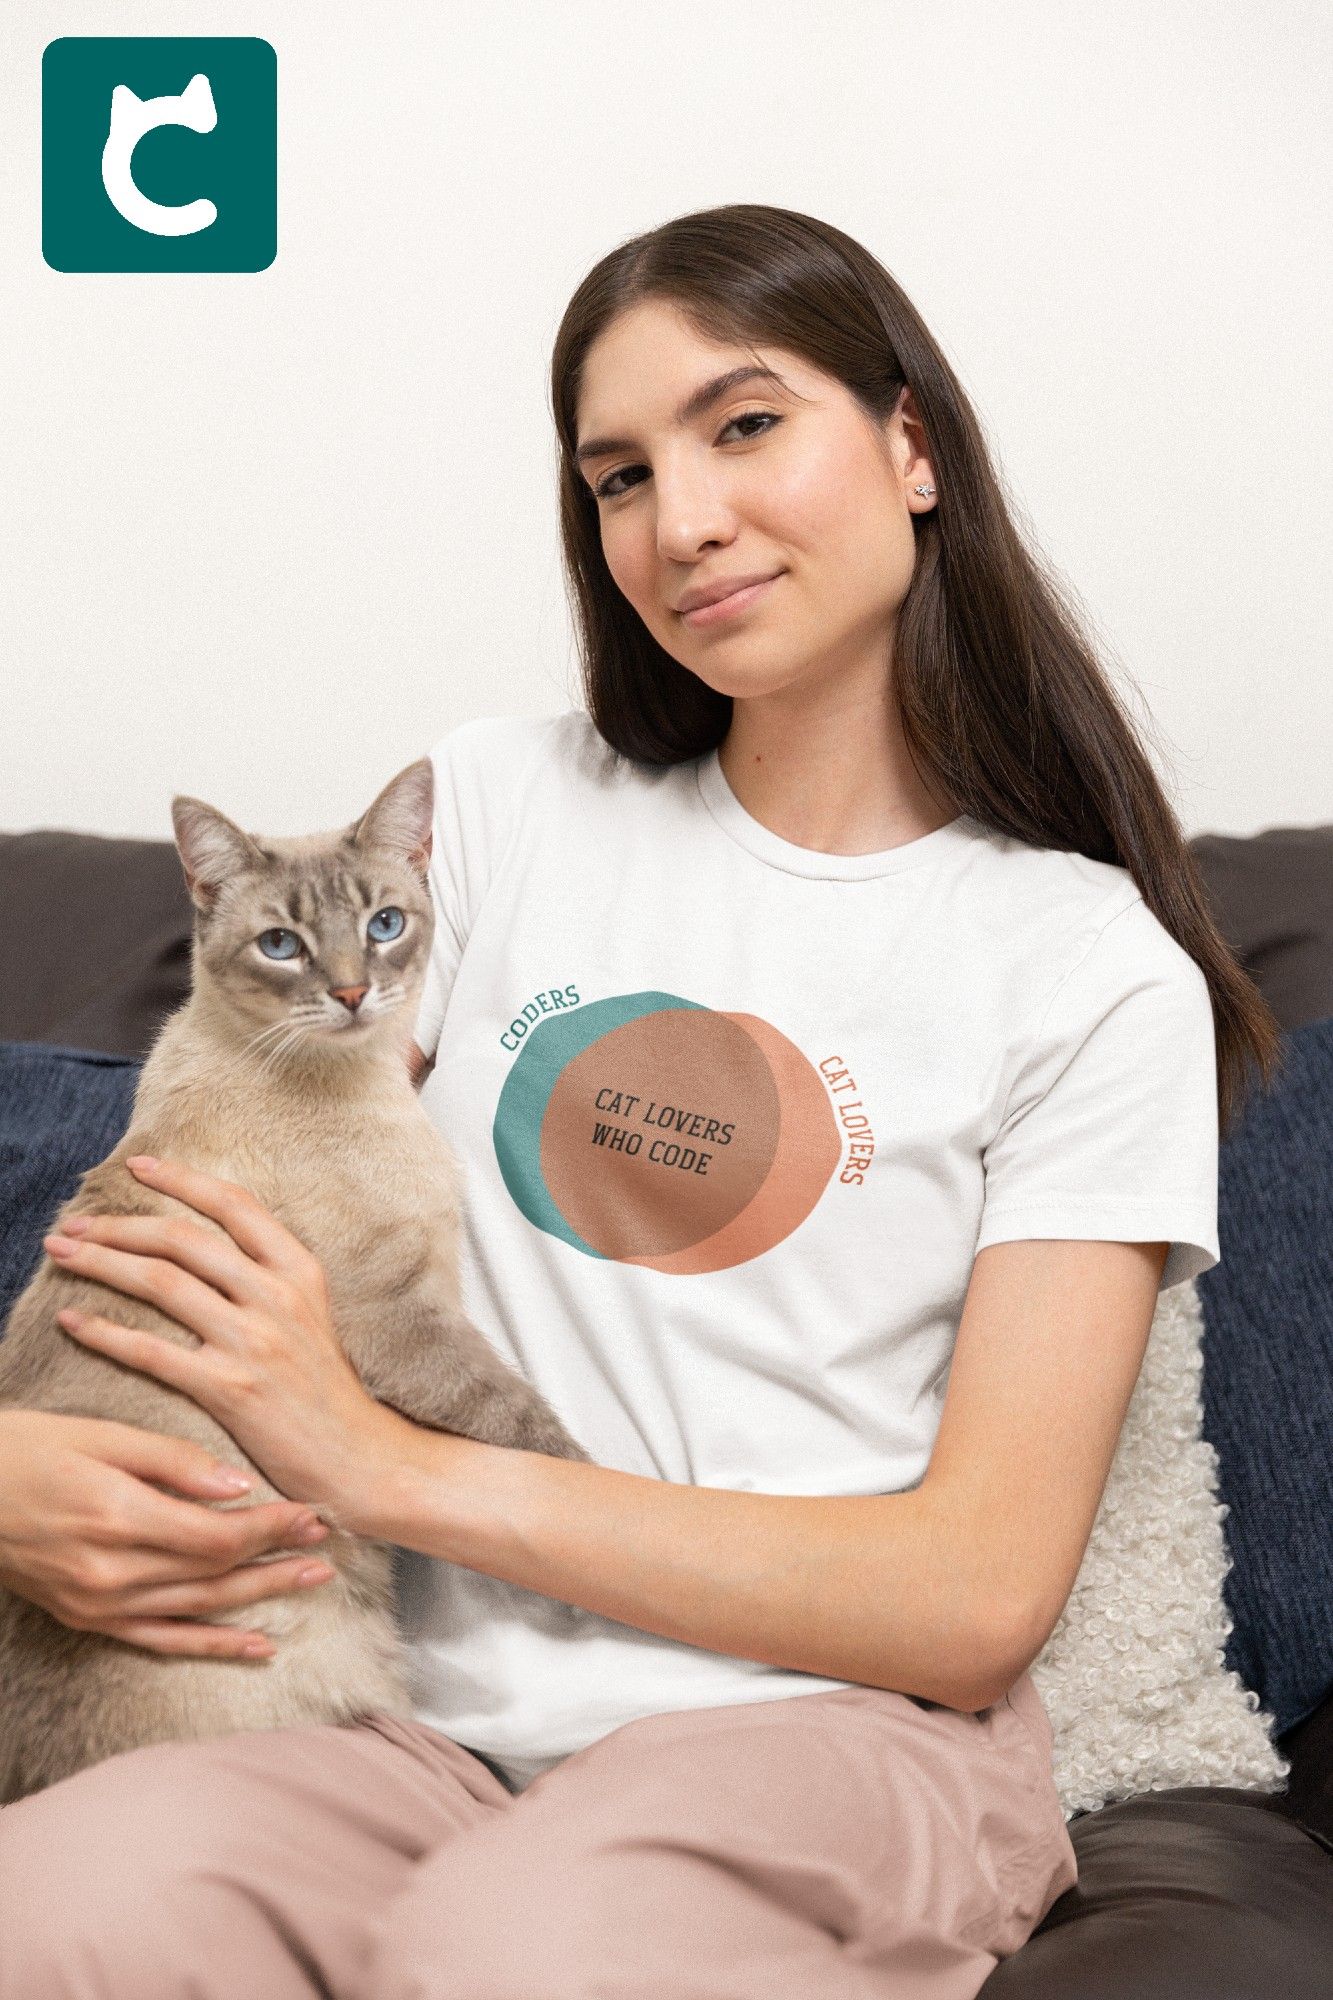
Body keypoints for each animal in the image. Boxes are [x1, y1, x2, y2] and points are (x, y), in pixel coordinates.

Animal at [0, 756, 588, 1808]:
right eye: (282, 946)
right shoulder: (404, 1319)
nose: (354, 993)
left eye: (384, 925)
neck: (360, 1083)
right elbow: (528, 1435)